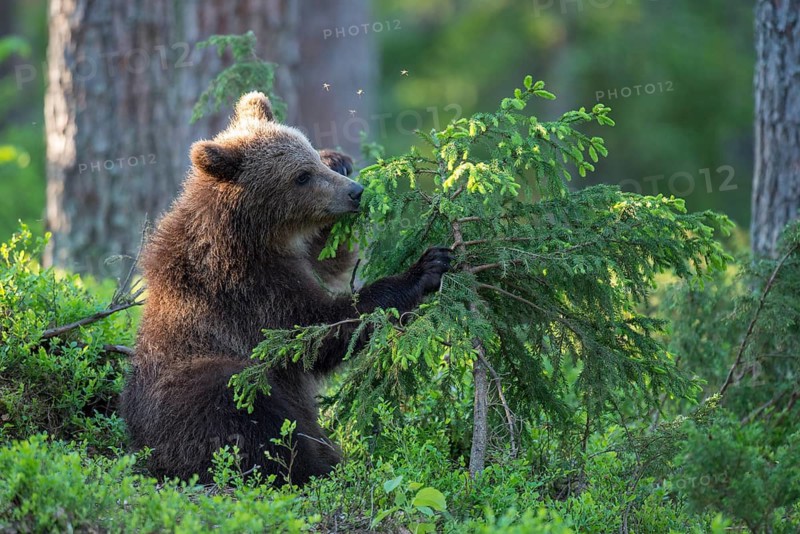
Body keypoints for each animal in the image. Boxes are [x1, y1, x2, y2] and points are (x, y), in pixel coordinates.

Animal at [119, 91, 452, 486]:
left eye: (311, 157)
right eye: (301, 176)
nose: (355, 193)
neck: (253, 235)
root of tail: (144, 450)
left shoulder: (295, 256)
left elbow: (329, 261)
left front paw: (340, 160)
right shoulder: (248, 287)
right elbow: (313, 330)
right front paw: (424, 267)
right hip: (197, 388)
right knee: (247, 413)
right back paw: (320, 468)